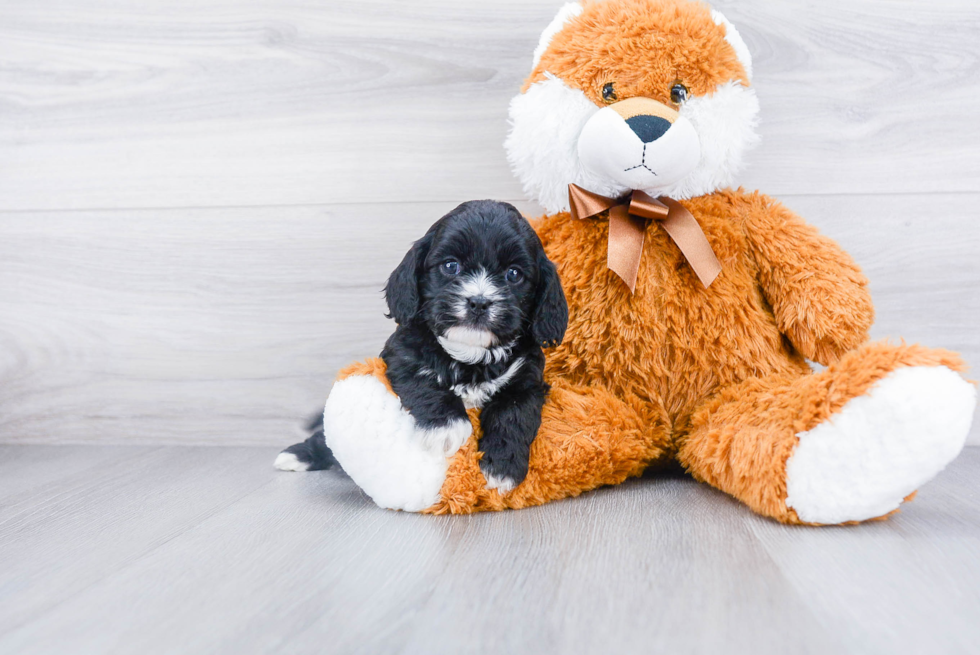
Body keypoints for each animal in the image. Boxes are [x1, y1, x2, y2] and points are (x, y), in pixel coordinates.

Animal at [276, 200, 568, 492]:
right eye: (450, 266)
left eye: (514, 274)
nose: (479, 302)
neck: (470, 355)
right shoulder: (402, 354)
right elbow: (424, 380)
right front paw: (447, 428)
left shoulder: (527, 379)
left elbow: (513, 413)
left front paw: (503, 466)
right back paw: (299, 455)